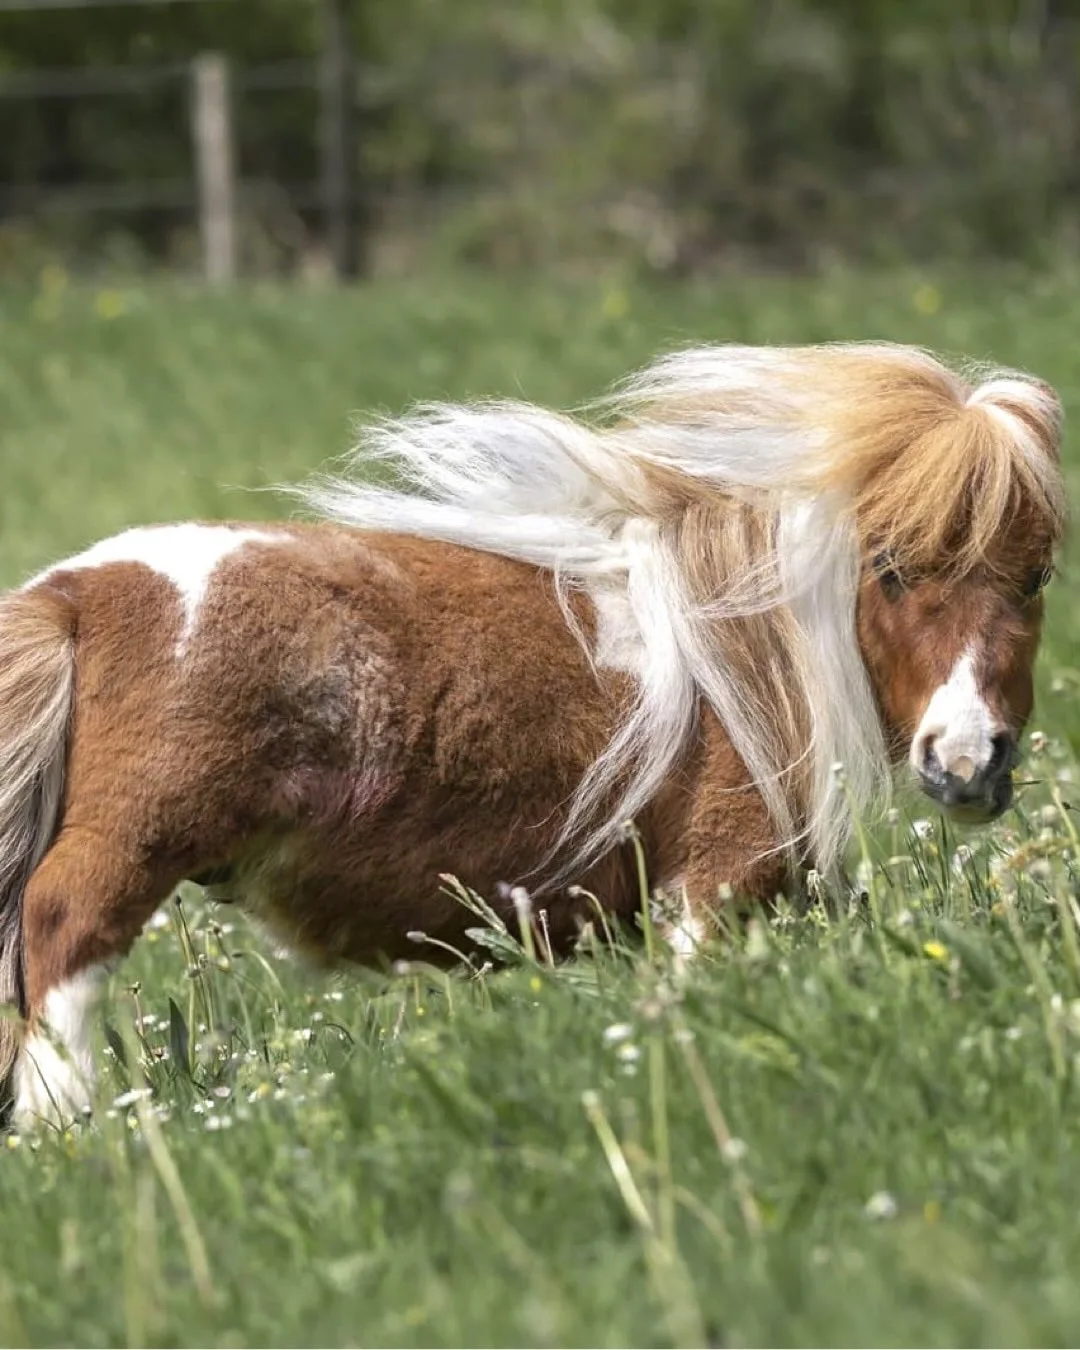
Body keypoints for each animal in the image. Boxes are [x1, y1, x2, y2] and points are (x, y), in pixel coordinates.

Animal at [0, 341, 1064, 1131]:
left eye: (1039, 573)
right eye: (890, 566)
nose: (967, 759)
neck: (743, 652)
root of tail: (75, 593)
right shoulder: (714, 885)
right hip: (125, 854)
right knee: (60, 946)